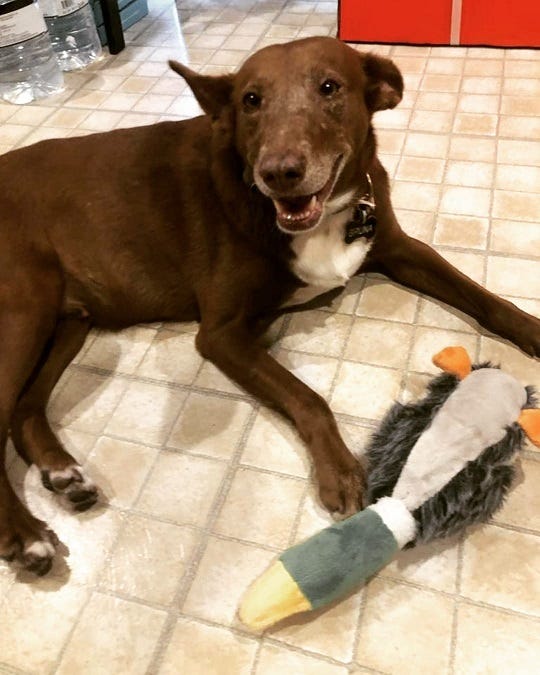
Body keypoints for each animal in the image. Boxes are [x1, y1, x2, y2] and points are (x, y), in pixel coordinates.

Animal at [1, 37, 540, 576]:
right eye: (251, 100)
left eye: (330, 87)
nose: (279, 172)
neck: (322, 218)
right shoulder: (221, 332)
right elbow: (308, 397)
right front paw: (341, 470)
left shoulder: (397, 247)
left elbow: (481, 295)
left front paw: (529, 327)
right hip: (25, 312)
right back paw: (26, 537)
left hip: (67, 321)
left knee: (23, 412)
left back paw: (63, 475)